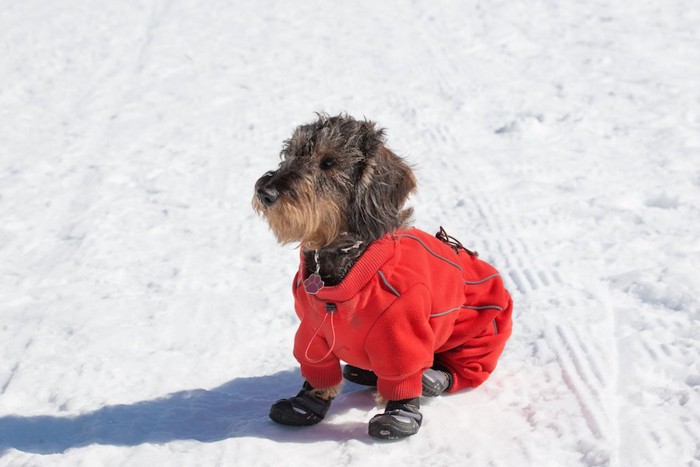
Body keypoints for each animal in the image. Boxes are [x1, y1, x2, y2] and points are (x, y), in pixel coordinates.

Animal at [253, 113, 516, 438]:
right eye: (290, 154)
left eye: (329, 162)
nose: (265, 192)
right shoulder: (312, 330)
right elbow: (317, 369)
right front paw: (306, 403)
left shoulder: (401, 333)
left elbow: (403, 374)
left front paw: (399, 416)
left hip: (479, 337)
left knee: (454, 370)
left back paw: (432, 378)